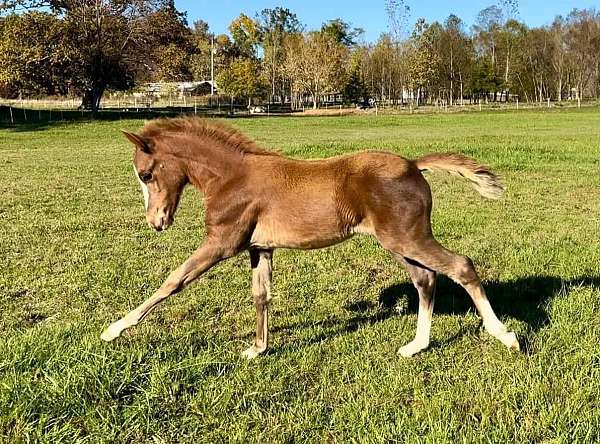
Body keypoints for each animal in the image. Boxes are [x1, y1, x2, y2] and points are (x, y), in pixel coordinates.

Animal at [101, 117, 516, 358]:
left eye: (146, 175)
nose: (156, 222)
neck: (231, 177)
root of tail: (414, 165)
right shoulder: (260, 247)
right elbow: (261, 295)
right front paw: (258, 348)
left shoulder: (223, 242)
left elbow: (173, 281)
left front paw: (114, 329)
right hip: (399, 242)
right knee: (425, 280)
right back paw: (417, 346)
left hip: (407, 238)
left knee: (460, 266)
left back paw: (504, 335)